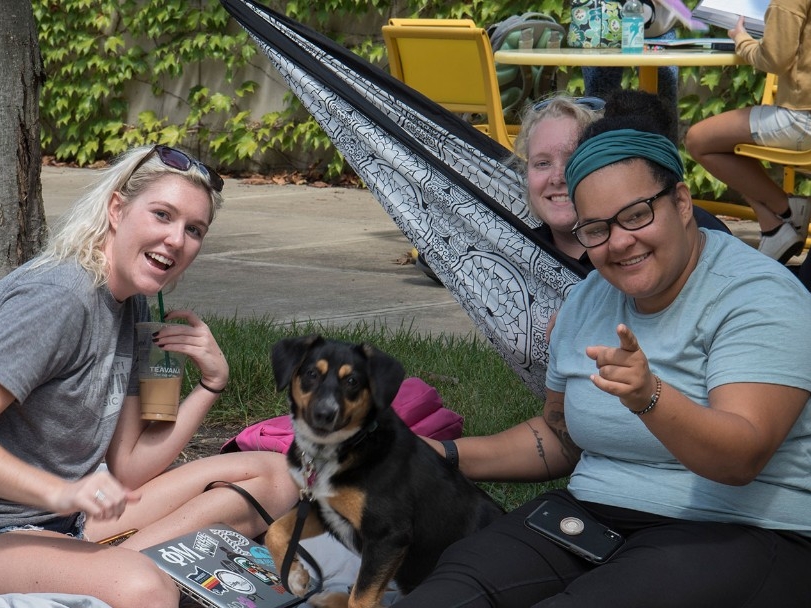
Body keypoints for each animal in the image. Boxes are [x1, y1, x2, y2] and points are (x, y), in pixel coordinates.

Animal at [270, 334, 504, 608]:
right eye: (311, 373)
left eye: (352, 381)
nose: (324, 414)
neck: (345, 448)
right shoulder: (321, 509)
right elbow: (274, 530)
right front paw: (295, 576)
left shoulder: (388, 536)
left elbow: (361, 600)